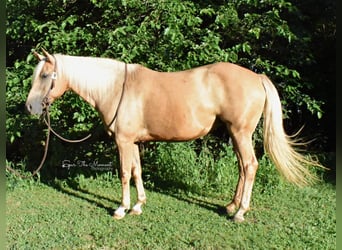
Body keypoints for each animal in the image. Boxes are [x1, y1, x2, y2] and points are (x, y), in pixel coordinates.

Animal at [25, 49, 320, 222]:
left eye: (46, 75)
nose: (30, 107)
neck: (116, 88)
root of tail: (256, 77)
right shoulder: (133, 142)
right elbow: (137, 171)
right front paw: (138, 205)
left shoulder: (123, 141)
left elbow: (124, 173)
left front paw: (121, 209)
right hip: (236, 134)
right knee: (242, 167)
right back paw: (230, 206)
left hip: (241, 133)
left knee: (249, 165)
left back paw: (239, 212)